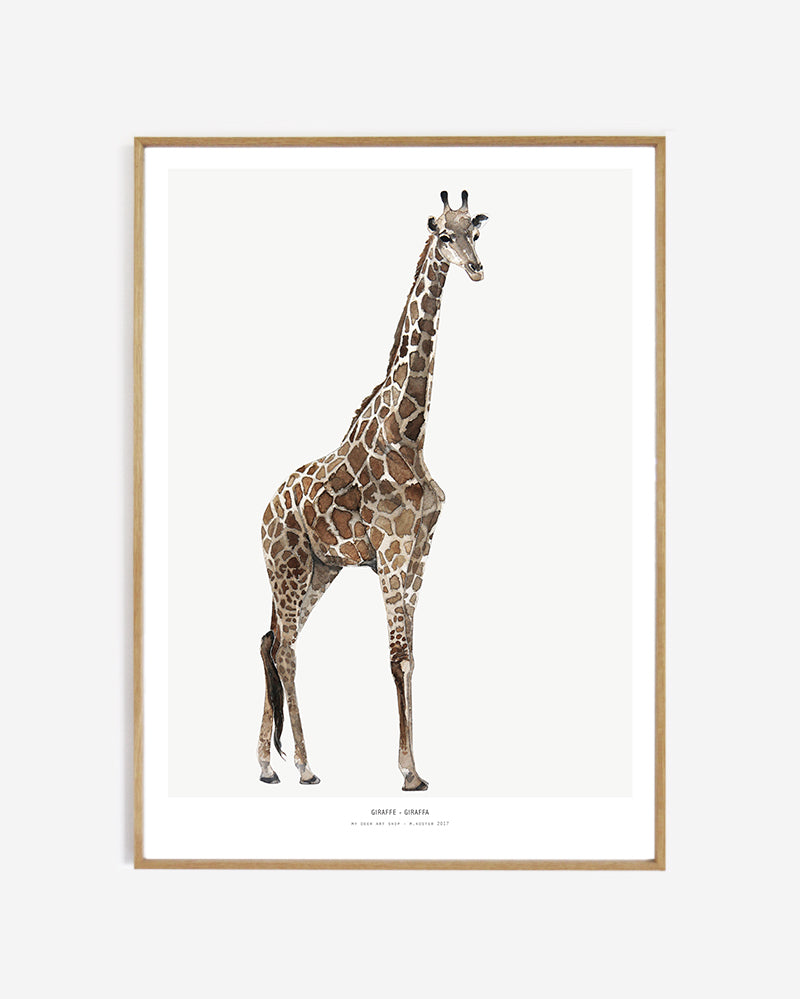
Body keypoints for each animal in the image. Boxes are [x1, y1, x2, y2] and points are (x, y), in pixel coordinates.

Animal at [258, 190, 488, 791]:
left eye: (475, 233)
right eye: (443, 235)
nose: (476, 268)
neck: (411, 430)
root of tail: (263, 514)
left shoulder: (419, 553)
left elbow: (411, 655)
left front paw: (415, 767)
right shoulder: (391, 551)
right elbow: (395, 655)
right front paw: (408, 774)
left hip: (319, 570)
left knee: (272, 641)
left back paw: (266, 766)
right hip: (288, 567)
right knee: (285, 649)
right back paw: (306, 767)